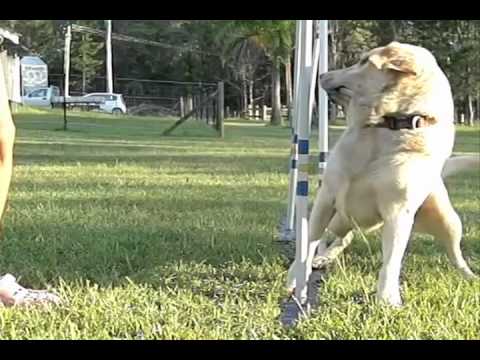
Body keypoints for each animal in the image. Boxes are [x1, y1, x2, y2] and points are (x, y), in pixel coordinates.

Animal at [286, 41, 478, 306]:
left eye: (364, 61)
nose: (322, 75)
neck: (386, 123)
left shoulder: (398, 213)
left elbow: (391, 261)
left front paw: (387, 299)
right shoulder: (327, 198)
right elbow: (308, 243)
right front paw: (296, 278)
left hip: (448, 221)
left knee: (455, 254)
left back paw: (469, 276)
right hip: (338, 218)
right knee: (334, 237)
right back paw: (322, 257)